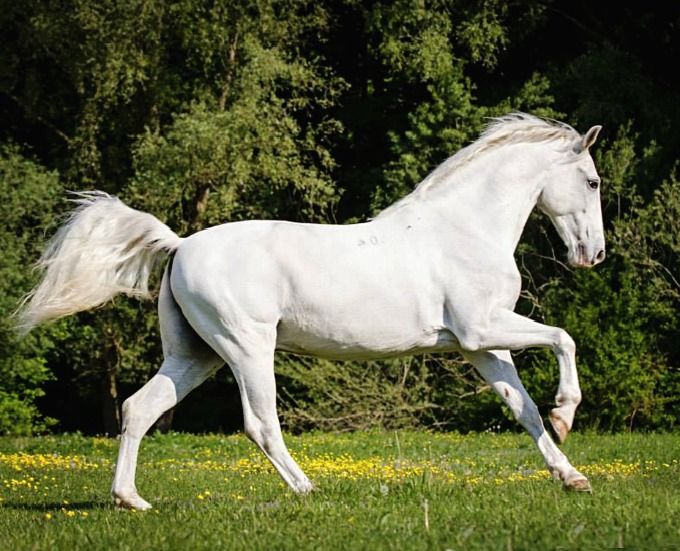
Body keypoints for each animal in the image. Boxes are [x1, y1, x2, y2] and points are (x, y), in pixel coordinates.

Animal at [17, 113, 605, 510]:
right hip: (246, 349)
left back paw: (131, 500)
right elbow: (564, 338)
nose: (593, 255)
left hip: (195, 355)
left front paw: (571, 474)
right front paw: (567, 413)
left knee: (139, 408)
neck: (465, 229)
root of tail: (180, 245)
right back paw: (307, 487)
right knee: (259, 423)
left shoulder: (481, 346)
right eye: (593, 181)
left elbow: (523, 409)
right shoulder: (483, 330)